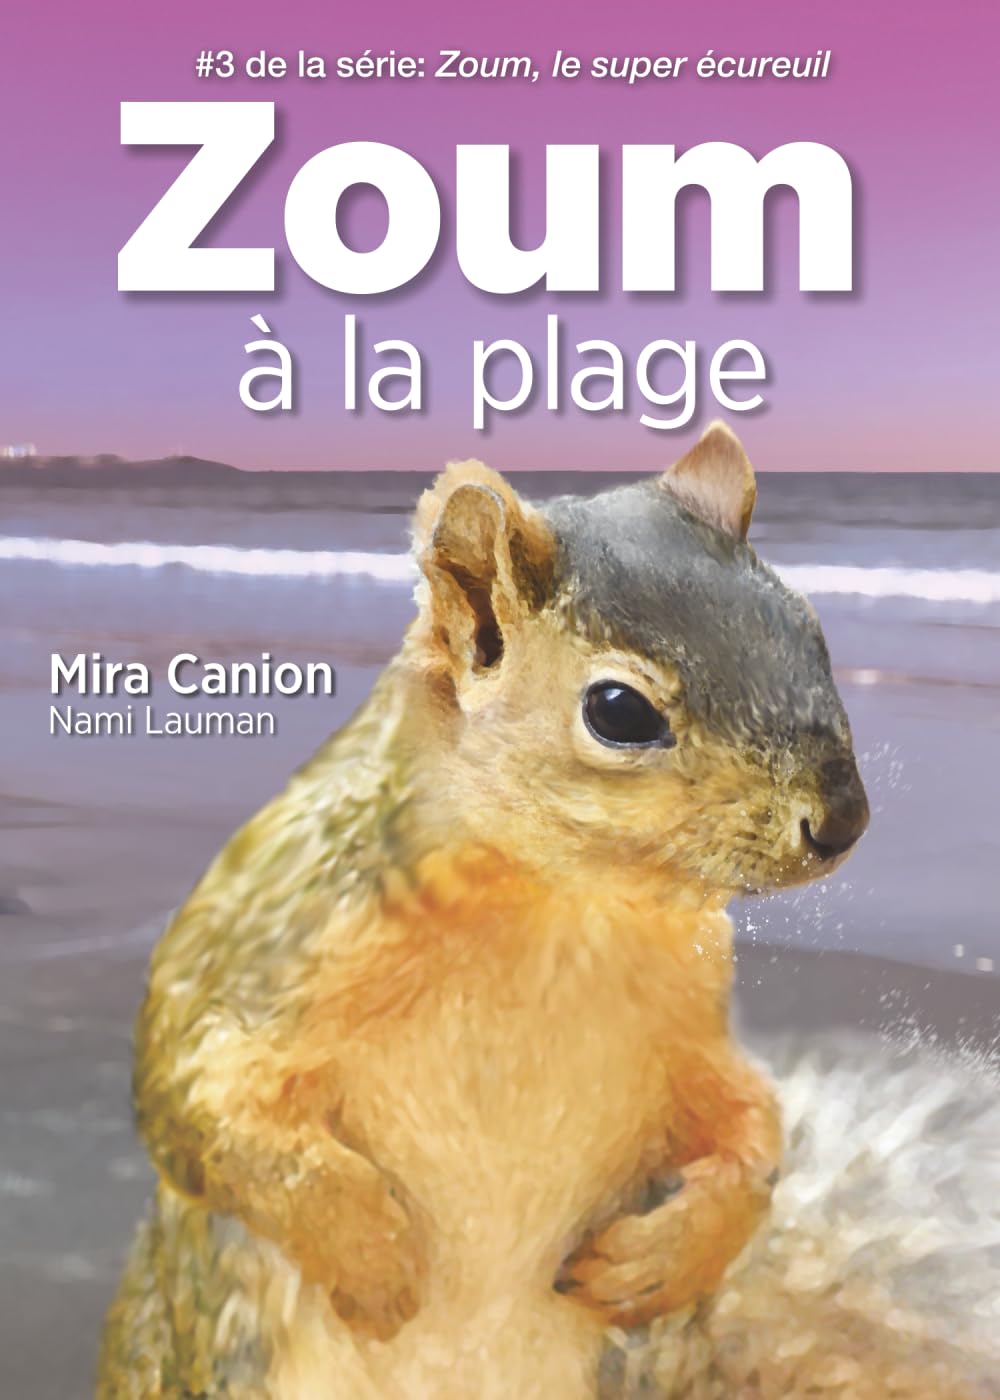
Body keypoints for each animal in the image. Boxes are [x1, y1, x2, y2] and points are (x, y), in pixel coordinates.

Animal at [98, 422, 871, 1399]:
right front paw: (374, 1259)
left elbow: (751, 1121)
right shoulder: (271, 935)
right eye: (618, 710)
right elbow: (198, 1093)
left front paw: (665, 1259)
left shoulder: (688, 1025)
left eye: (811, 630)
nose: (842, 819)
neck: (557, 909)